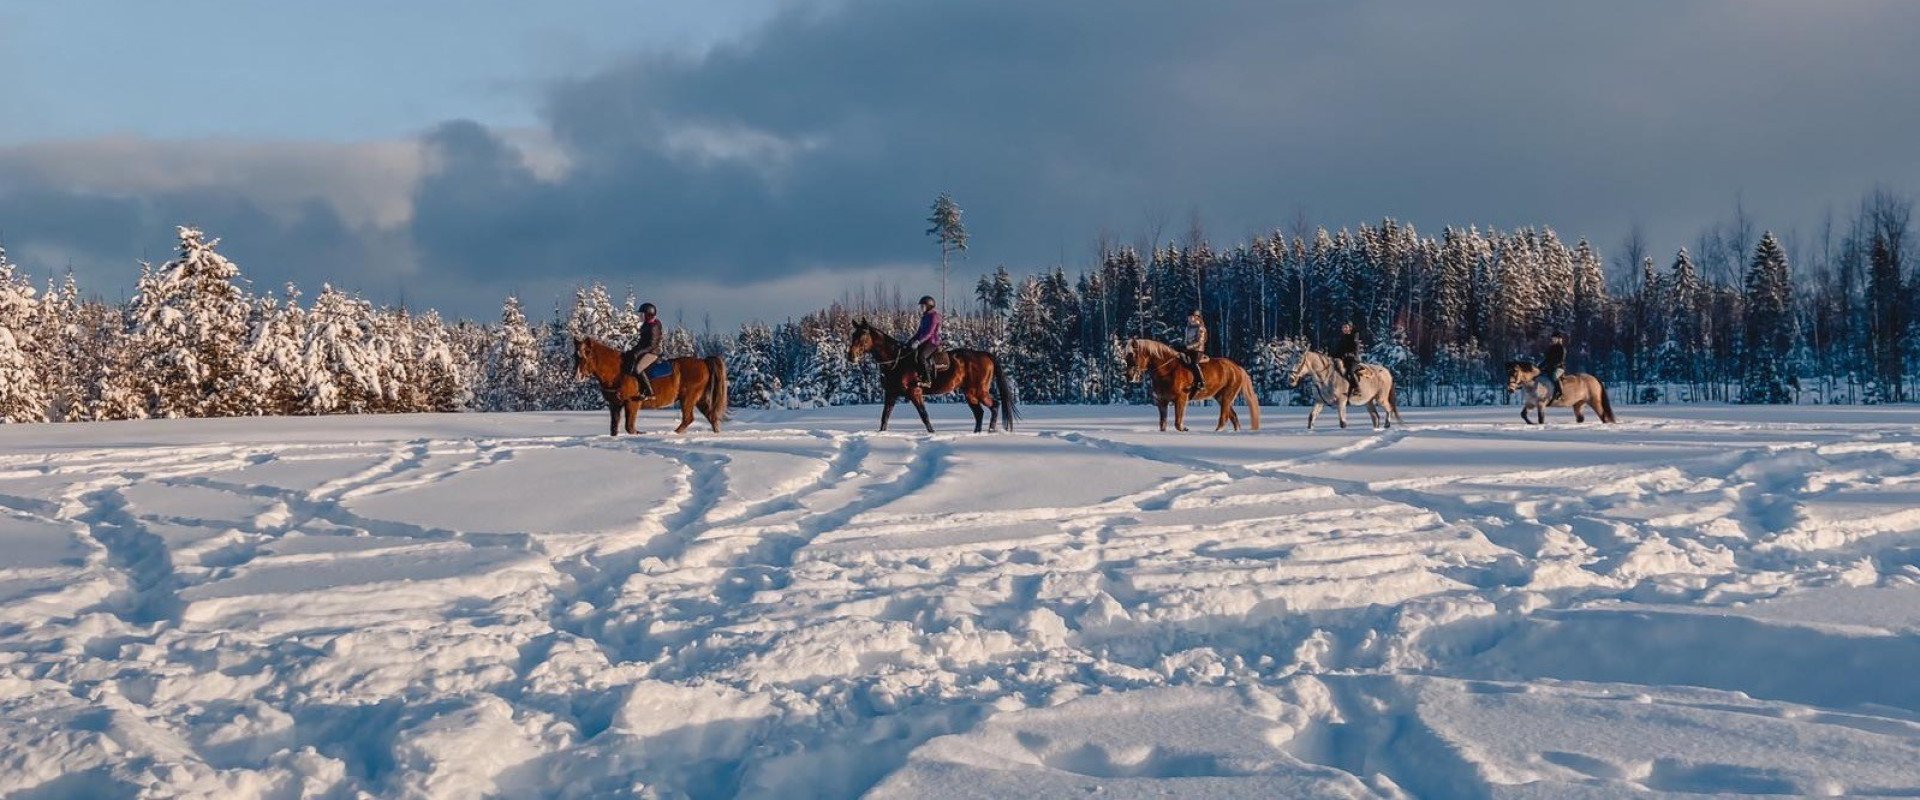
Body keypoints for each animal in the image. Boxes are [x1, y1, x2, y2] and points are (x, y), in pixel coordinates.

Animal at [568, 337, 725, 437]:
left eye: (587, 354)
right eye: (575, 356)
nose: (577, 376)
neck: (617, 372)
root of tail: (703, 362)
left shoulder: (632, 403)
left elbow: (630, 428)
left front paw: (640, 433)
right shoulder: (615, 404)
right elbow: (614, 429)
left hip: (688, 398)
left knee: (688, 419)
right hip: (699, 399)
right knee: (711, 417)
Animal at [844, 316, 1013, 429]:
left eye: (863, 335)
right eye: (853, 335)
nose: (850, 356)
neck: (897, 360)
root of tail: (985, 355)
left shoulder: (915, 392)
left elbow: (924, 417)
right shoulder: (891, 394)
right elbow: (884, 417)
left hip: (979, 391)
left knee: (994, 406)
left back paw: (990, 431)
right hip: (970, 393)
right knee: (979, 413)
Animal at [1121, 339, 1267, 433]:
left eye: (1133, 355)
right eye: (1126, 356)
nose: (1129, 376)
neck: (1167, 370)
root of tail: (1237, 368)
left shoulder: (1181, 399)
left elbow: (1177, 423)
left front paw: (1185, 429)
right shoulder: (1161, 401)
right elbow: (1163, 424)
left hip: (1227, 396)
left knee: (1224, 418)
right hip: (1221, 397)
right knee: (1234, 417)